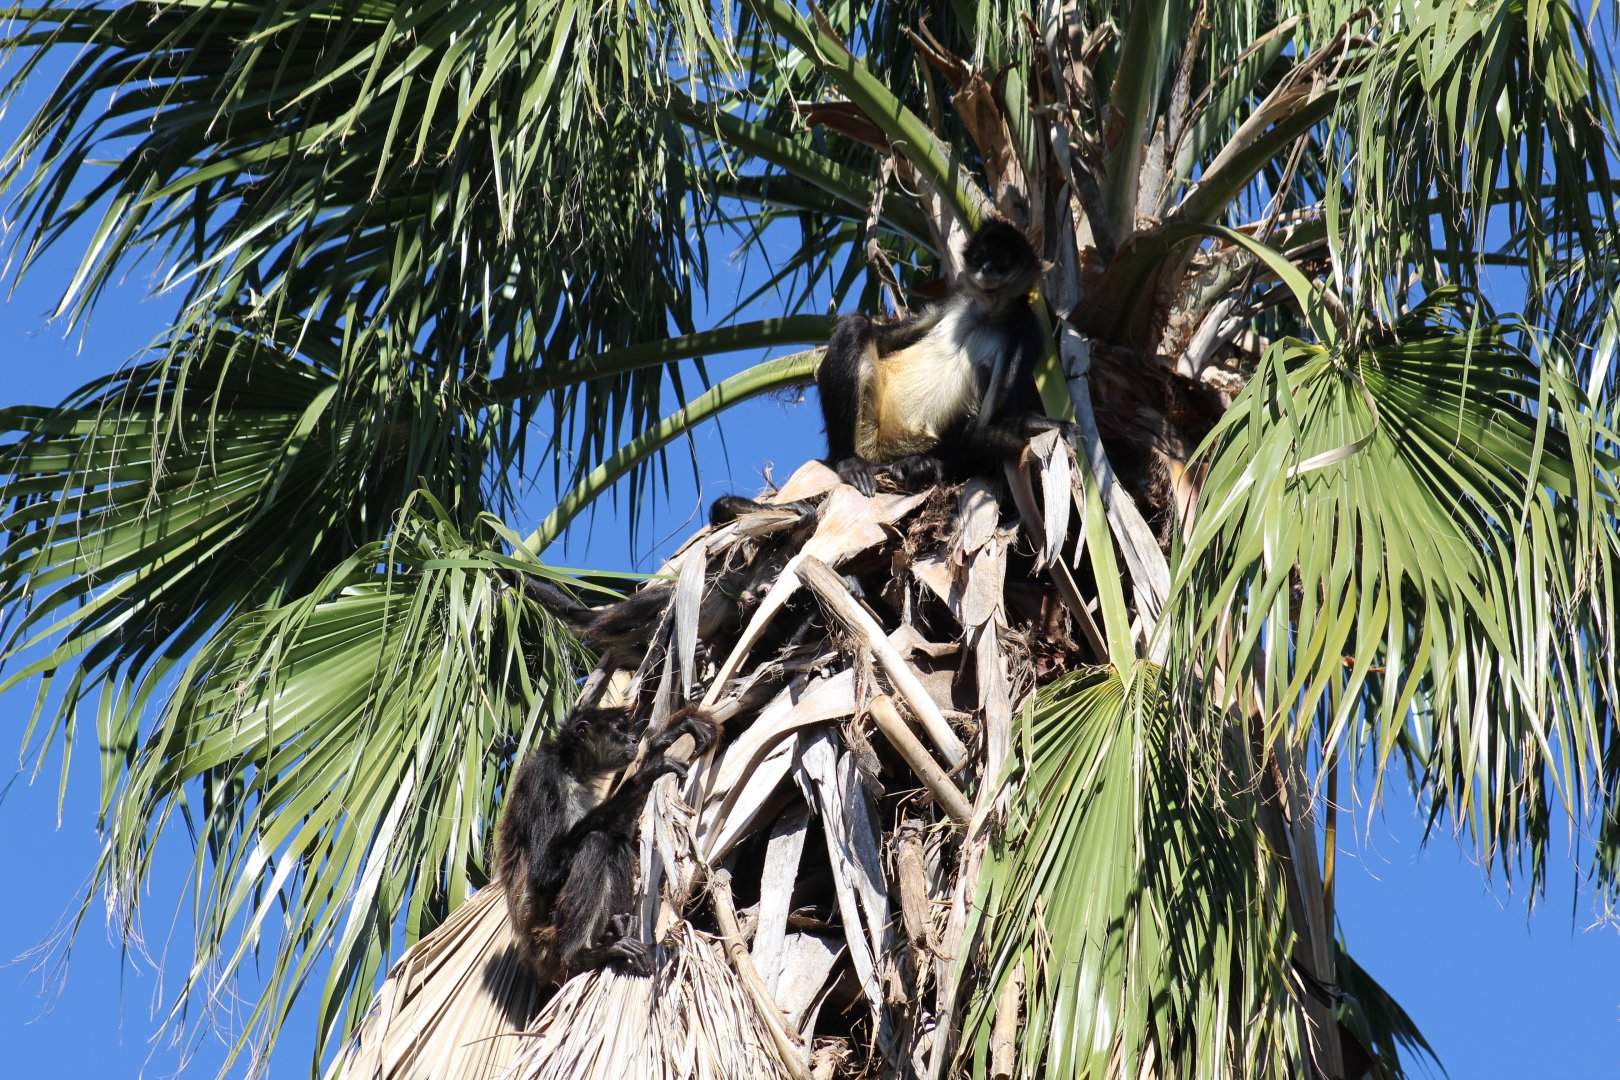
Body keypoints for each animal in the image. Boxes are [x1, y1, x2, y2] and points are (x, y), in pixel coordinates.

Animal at [496, 704, 718, 983]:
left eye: (628, 730)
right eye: (619, 729)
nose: (634, 740)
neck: (572, 770)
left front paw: (665, 738)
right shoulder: (545, 775)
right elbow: (545, 872)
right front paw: (646, 772)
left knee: (616, 843)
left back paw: (618, 931)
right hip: (549, 934)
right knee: (597, 841)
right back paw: (579, 956)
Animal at [817, 220, 1067, 495]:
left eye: (1001, 258)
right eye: (980, 258)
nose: (987, 269)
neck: (987, 314)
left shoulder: (1027, 329)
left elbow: (990, 427)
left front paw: (1033, 424)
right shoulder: (958, 300)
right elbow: (881, 340)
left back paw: (918, 463)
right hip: (867, 433)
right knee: (855, 325)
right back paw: (848, 460)